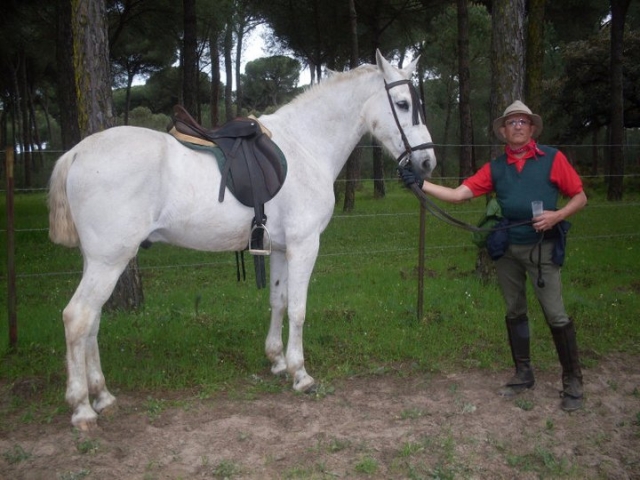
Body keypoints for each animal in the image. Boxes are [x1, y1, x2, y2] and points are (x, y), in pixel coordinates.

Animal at [48, 50, 436, 430]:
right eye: (403, 104)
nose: (427, 162)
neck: (306, 146)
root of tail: (77, 153)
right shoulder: (304, 245)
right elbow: (298, 309)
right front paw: (301, 373)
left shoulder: (279, 248)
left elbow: (278, 301)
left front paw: (277, 361)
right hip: (109, 260)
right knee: (77, 318)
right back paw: (82, 408)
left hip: (99, 261)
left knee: (92, 321)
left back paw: (103, 397)